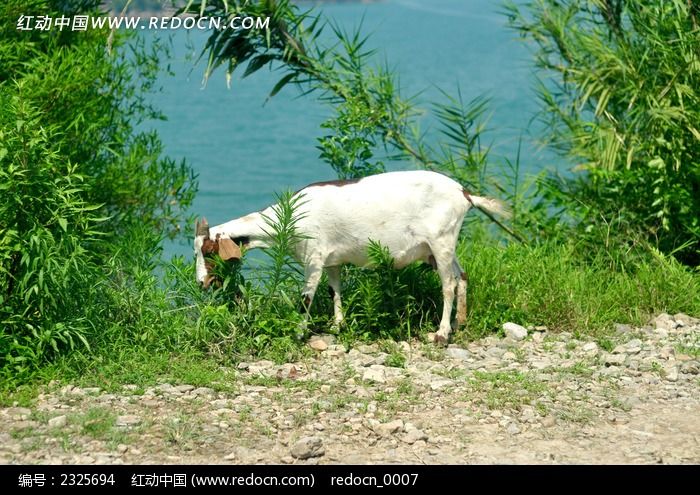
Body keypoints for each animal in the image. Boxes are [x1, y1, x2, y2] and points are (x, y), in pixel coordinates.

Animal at [194, 170, 506, 344]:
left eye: (209, 252)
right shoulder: (332, 260)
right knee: (461, 275)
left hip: (441, 241)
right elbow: (335, 291)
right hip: (439, 246)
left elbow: (306, 298)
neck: (289, 218)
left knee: (448, 284)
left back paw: (441, 333)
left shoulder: (314, 258)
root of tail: (464, 194)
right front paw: (338, 325)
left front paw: (298, 333)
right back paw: (460, 323)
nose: (201, 283)